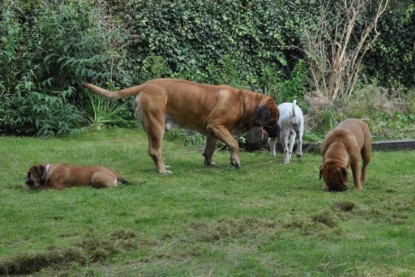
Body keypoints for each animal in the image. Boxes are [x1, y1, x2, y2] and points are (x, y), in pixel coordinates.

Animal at [82, 77, 280, 172]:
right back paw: (163, 171)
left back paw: (163, 166)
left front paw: (209, 164)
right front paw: (235, 160)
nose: (278, 131)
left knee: (152, 150)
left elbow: (209, 150)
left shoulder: (212, 133)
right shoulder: (217, 126)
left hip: (151, 127)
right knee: (155, 150)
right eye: (273, 121)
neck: (245, 103)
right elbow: (234, 143)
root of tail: (145, 85)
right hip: (157, 126)